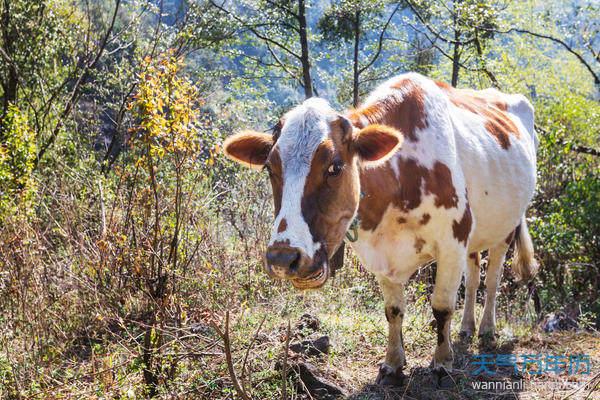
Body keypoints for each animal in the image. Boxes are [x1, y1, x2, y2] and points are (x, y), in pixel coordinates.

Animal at [221, 73, 540, 386]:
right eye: (270, 168)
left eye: (335, 167)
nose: (283, 258)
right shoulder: (379, 253)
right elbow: (393, 311)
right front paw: (393, 364)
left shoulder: (453, 241)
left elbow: (441, 307)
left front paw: (442, 363)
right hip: (478, 231)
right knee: (474, 276)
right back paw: (467, 328)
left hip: (507, 227)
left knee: (492, 279)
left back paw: (485, 329)